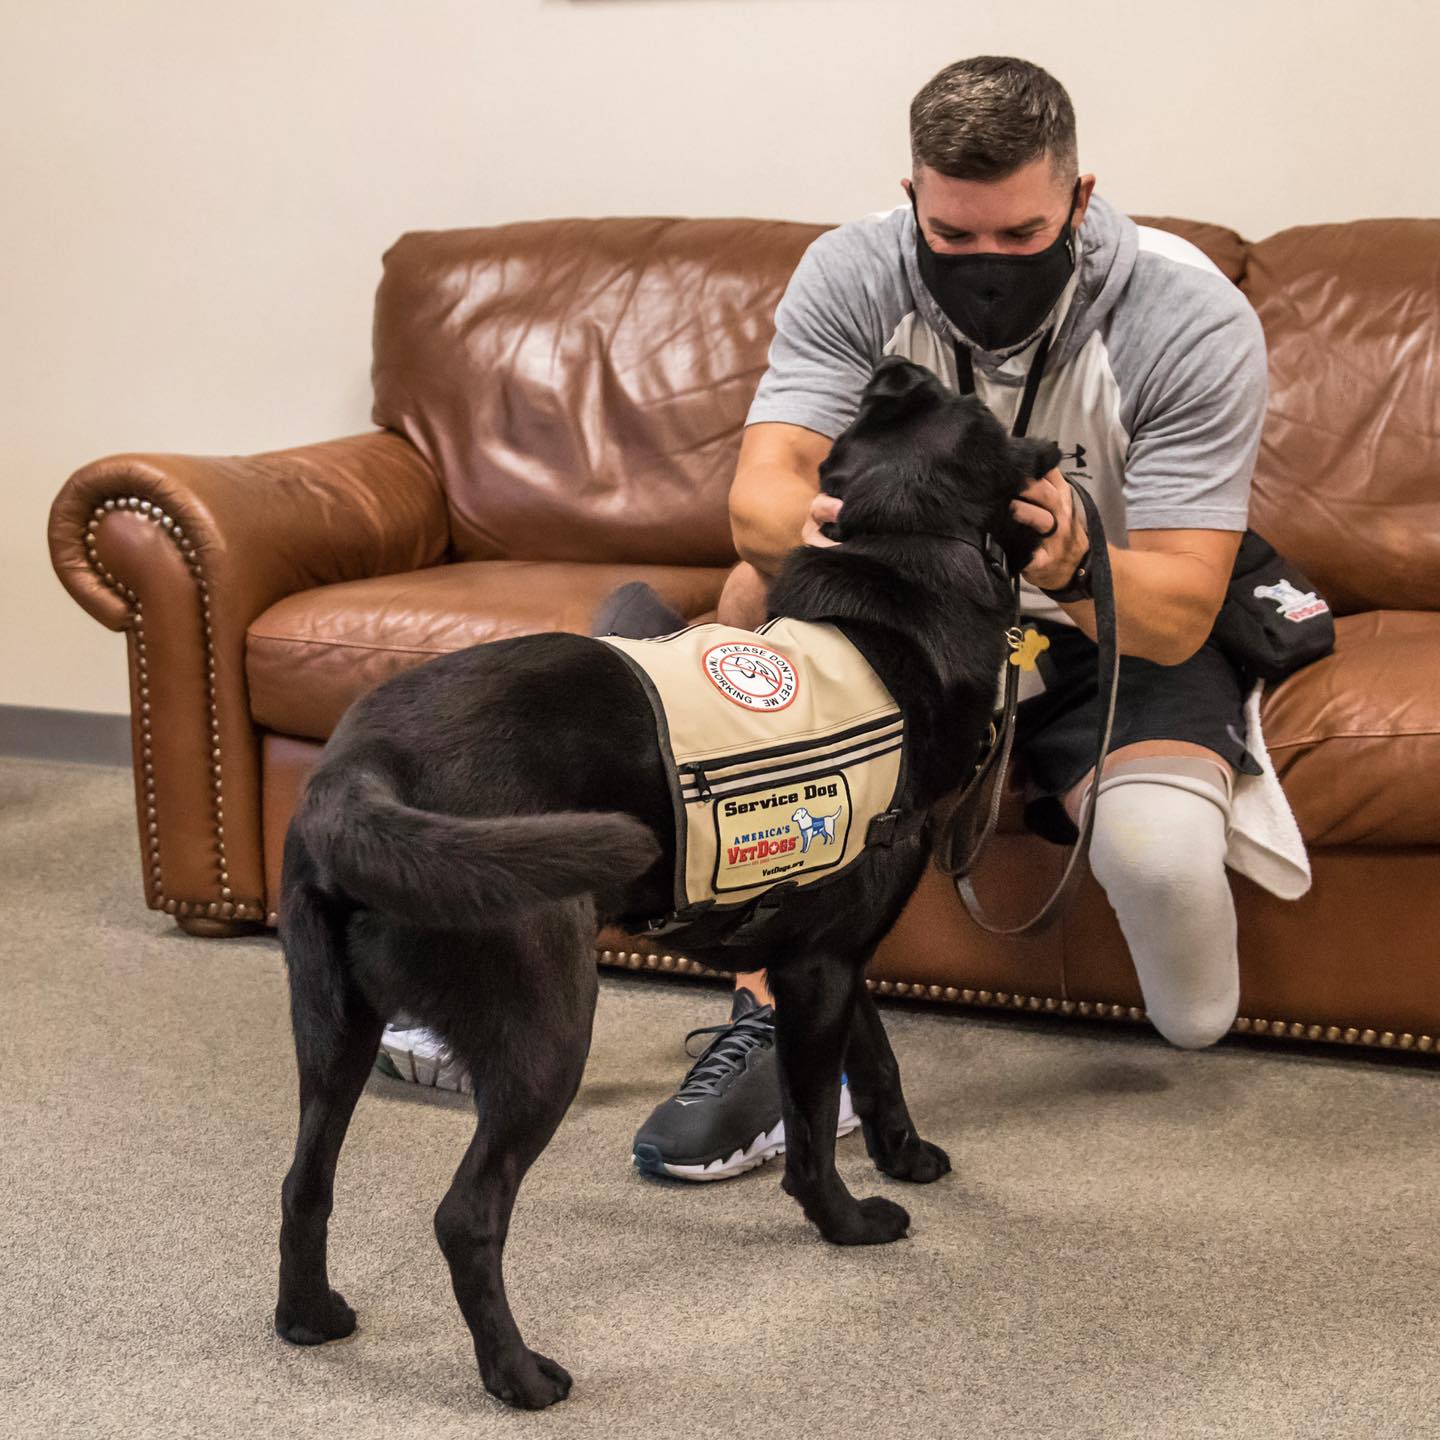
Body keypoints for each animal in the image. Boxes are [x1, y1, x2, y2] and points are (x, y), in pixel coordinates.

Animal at [272, 357, 1059, 1405]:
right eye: (984, 415)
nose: (899, 369)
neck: (906, 555)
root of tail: (358, 772)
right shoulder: (820, 971)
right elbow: (814, 1123)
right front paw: (849, 1223)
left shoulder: (826, 954)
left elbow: (878, 1058)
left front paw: (903, 1155)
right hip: (547, 1027)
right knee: (466, 1215)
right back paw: (517, 1376)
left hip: (333, 1029)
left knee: (304, 1180)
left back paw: (309, 1320)